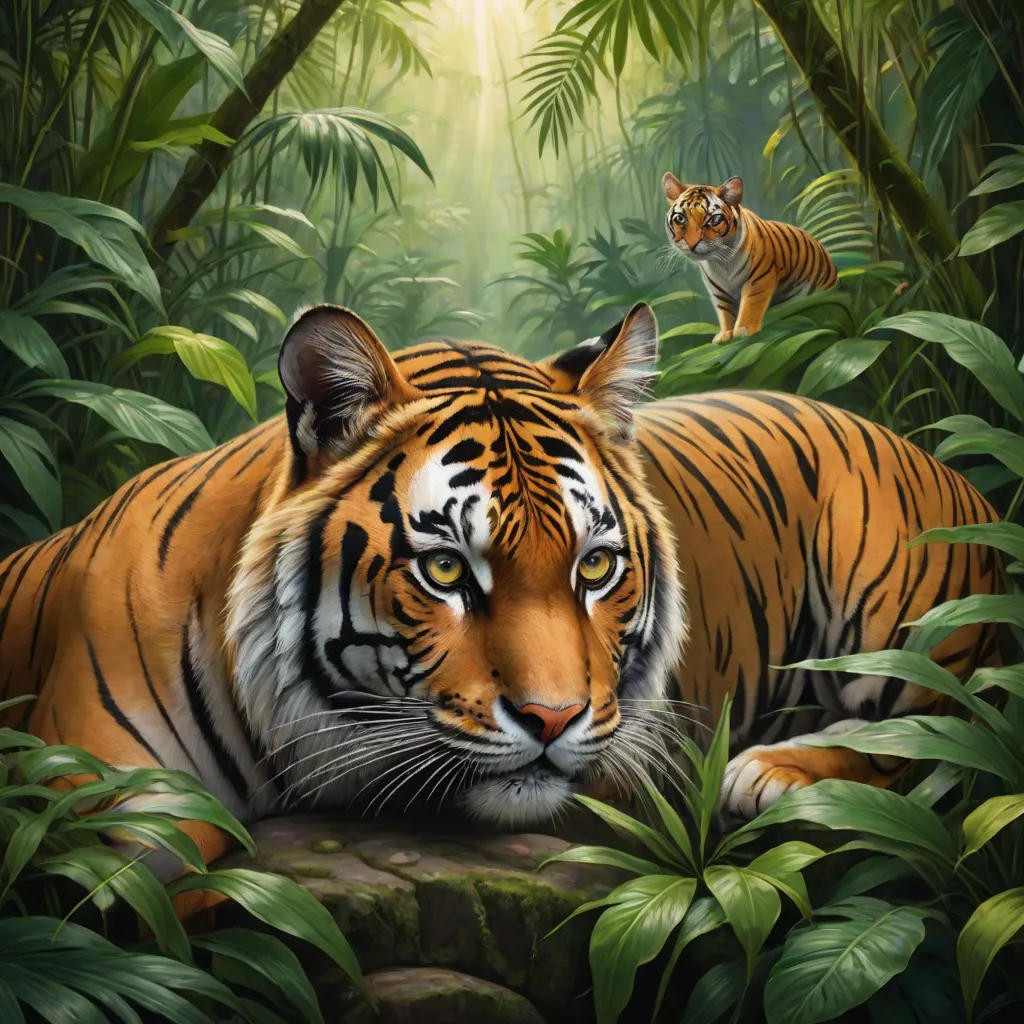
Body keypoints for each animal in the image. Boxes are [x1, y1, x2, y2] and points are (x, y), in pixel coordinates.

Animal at [0, 302, 1001, 869]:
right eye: (445, 569)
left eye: (594, 566)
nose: (553, 721)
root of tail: (954, 474)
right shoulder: (101, 795)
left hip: (902, 620)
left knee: (938, 741)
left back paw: (771, 771)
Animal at [663, 172, 839, 343]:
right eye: (680, 218)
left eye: (714, 220)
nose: (691, 244)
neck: (720, 264)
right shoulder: (718, 291)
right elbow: (725, 311)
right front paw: (725, 334)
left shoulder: (759, 279)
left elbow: (750, 305)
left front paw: (743, 330)